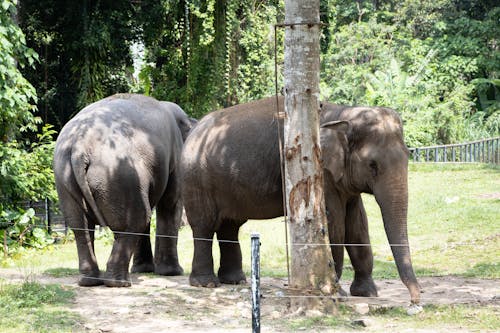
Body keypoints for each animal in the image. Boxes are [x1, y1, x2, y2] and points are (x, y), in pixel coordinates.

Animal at [53, 92, 194, 286]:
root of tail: (79, 149)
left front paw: (144, 270)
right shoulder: (174, 155)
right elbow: (170, 203)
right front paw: (172, 273)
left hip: (65, 178)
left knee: (80, 227)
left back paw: (90, 281)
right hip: (120, 175)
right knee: (136, 219)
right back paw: (119, 283)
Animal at [182, 95, 420, 304]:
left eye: (409, 155)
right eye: (373, 165)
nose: (415, 301)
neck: (344, 113)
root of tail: (193, 131)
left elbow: (358, 226)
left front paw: (367, 293)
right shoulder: (321, 172)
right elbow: (335, 224)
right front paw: (337, 293)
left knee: (230, 226)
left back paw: (234, 281)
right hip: (196, 180)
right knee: (204, 225)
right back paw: (206, 284)